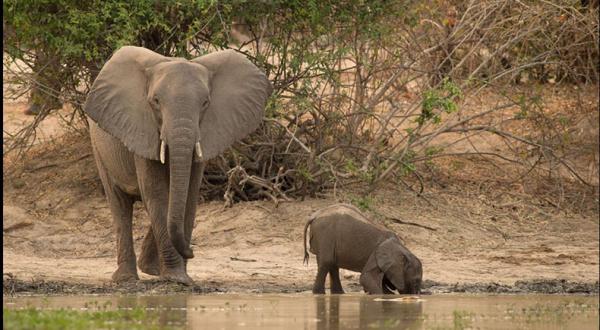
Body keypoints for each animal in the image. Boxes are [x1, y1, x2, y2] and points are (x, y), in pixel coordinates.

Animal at [84, 45, 272, 284]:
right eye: (155, 101)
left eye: (205, 103)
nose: (192, 251)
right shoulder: (143, 128)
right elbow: (156, 193)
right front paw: (177, 278)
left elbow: (189, 196)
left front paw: (182, 277)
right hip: (99, 148)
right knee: (120, 205)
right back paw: (126, 278)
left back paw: (150, 269)